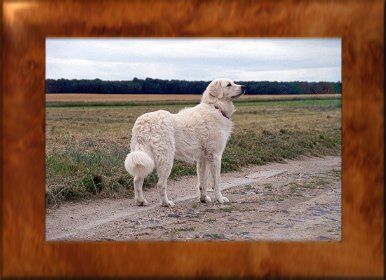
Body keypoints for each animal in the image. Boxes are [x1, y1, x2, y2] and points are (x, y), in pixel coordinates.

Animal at [125, 77, 246, 207]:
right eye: (229, 85)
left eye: (233, 82)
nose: (244, 87)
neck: (215, 107)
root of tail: (144, 123)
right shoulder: (215, 156)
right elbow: (216, 181)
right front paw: (220, 199)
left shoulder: (203, 159)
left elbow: (203, 182)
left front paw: (204, 199)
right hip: (166, 159)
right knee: (160, 184)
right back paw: (166, 203)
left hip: (144, 158)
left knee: (137, 180)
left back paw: (140, 201)